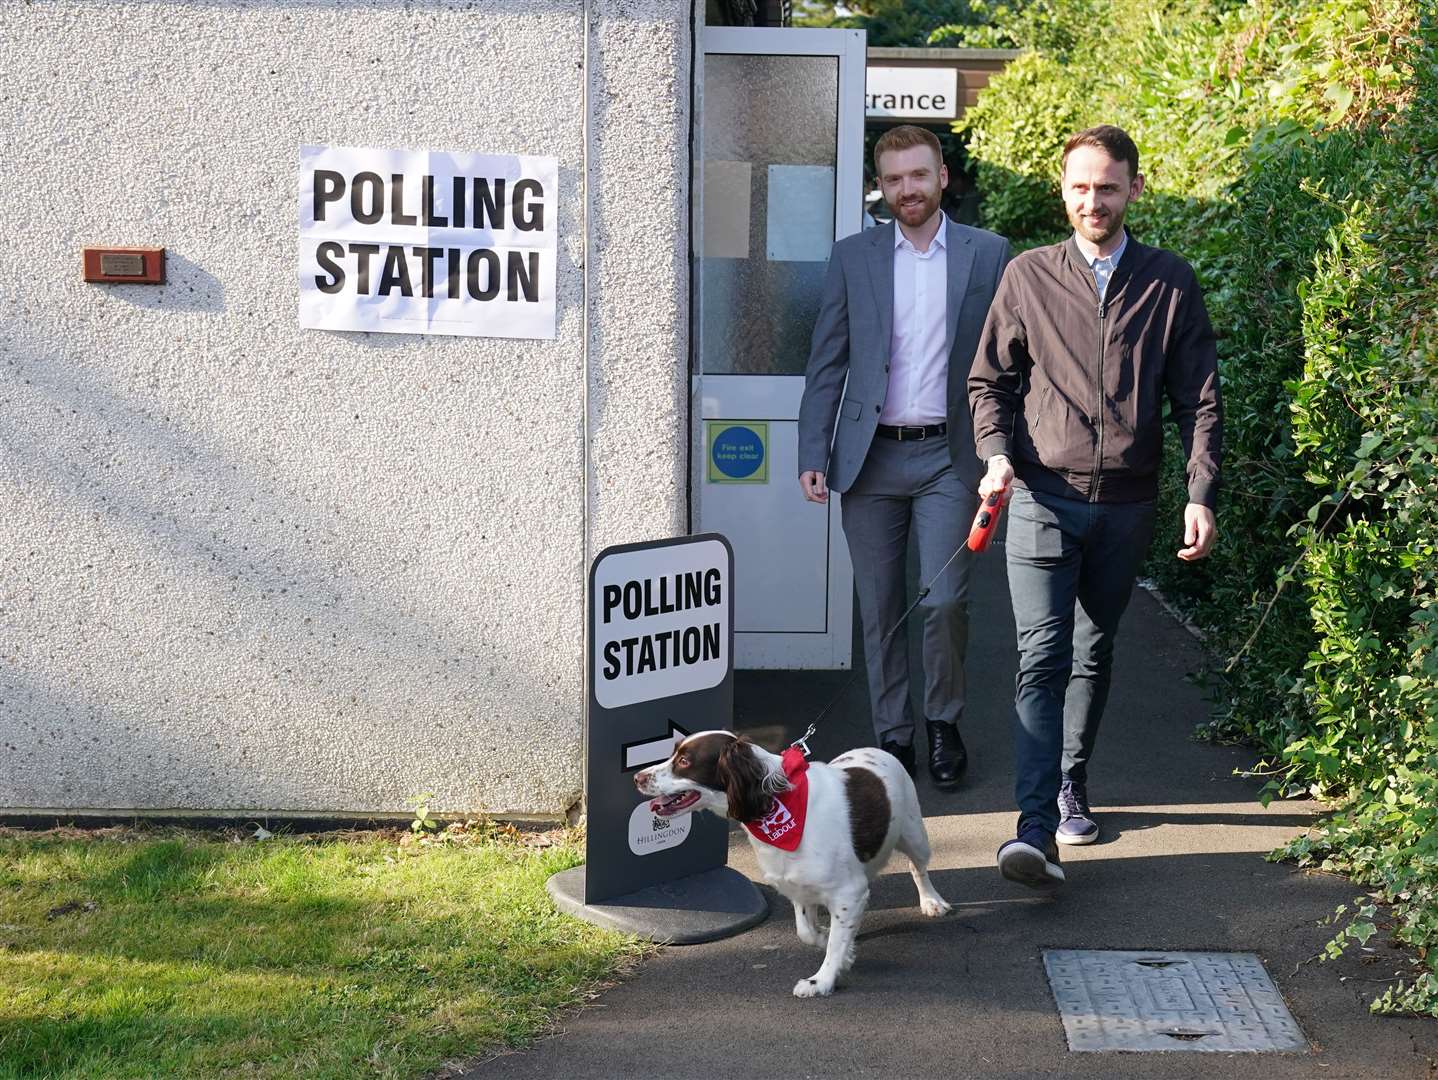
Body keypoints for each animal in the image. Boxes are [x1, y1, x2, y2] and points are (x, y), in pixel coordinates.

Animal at [635, 730, 949, 1000]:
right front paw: (840, 948)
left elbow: (834, 941)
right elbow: (808, 931)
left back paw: (932, 902)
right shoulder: (798, 886)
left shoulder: (849, 892)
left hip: (915, 836)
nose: (637, 777)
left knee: (918, 868)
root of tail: (878, 750)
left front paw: (820, 981)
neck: (774, 804)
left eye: (685, 762)